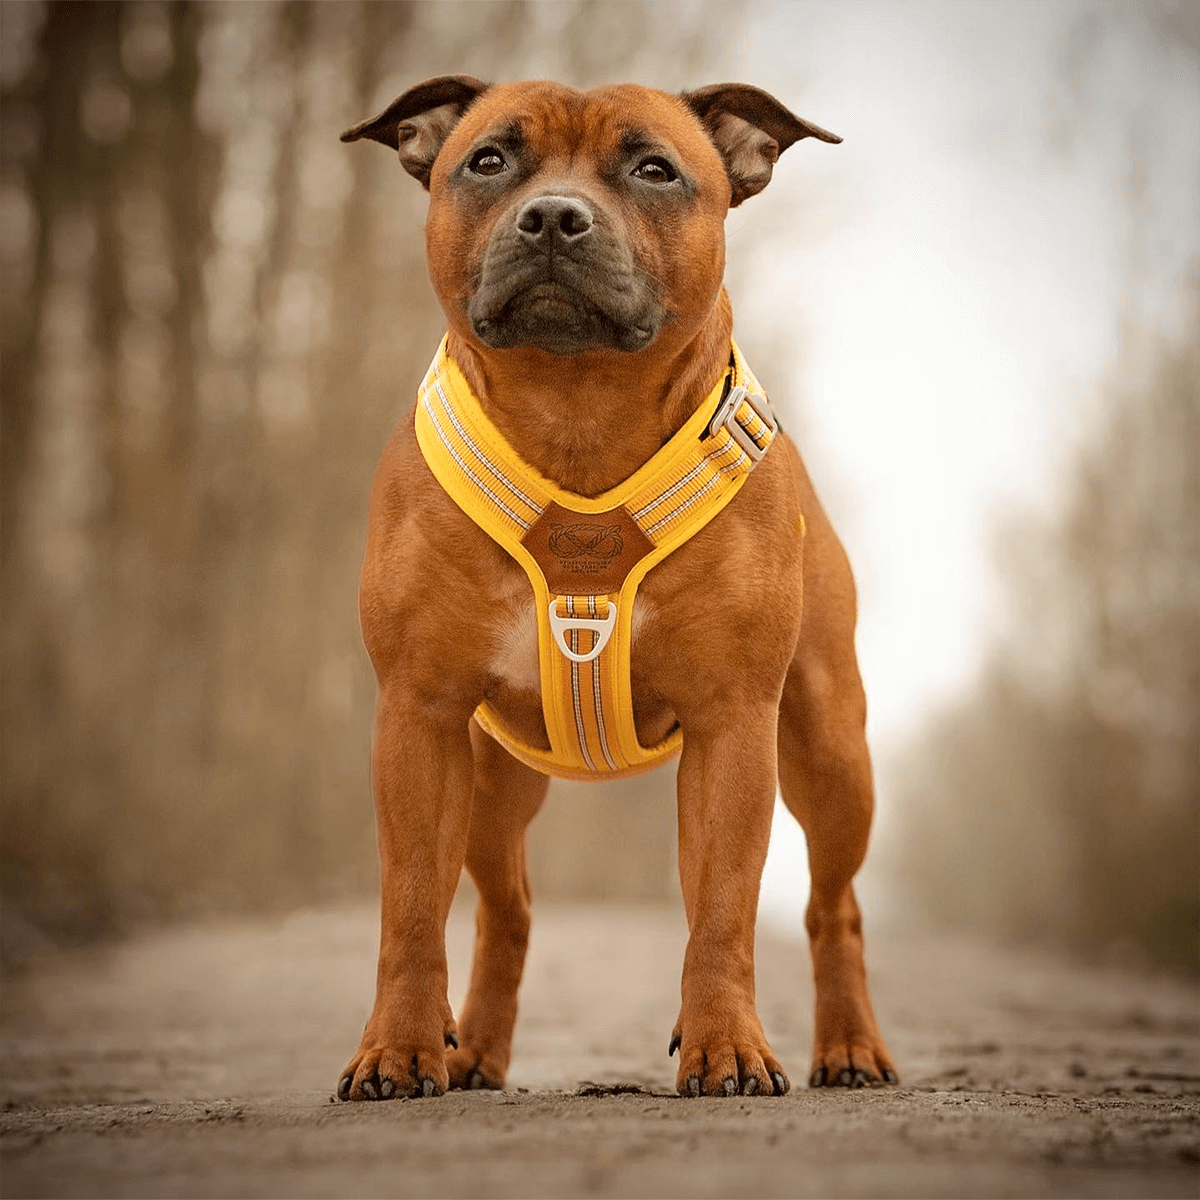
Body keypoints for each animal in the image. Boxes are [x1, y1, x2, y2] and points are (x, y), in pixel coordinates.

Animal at [333, 77, 897, 1099]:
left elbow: (723, 910)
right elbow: (411, 909)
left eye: (654, 169)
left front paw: (726, 1047)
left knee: (831, 905)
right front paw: (397, 1047)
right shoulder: (419, 716)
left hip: (832, 752)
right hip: (492, 780)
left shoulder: (733, 723)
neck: (576, 410)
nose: (554, 216)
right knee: (504, 907)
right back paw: (471, 1051)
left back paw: (848, 1047)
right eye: (487, 160)